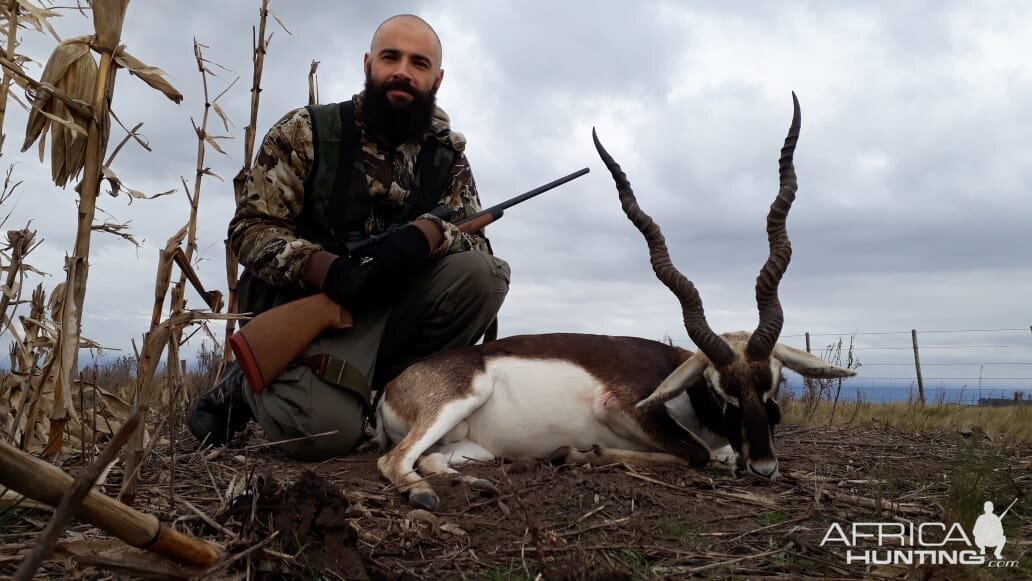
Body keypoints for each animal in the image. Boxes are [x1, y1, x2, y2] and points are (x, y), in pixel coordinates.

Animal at [377, 94, 854, 509]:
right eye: (722, 392)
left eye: (775, 381)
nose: (764, 466)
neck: (687, 388)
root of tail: (392, 388)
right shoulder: (622, 406)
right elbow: (697, 453)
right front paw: (577, 453)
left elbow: (714, 452)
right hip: (458, 400)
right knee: (392, 459)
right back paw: (425, 494)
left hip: (469, 445)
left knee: (432, 458)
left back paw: (474, 484)